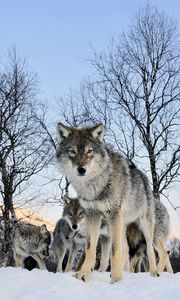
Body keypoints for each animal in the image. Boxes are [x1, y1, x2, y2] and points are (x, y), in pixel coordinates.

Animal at [56, 122, 158, 282]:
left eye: (89, 151)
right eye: (72, 151)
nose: (81, 169)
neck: (94, 185)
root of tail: (143, 176)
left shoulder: (113, 214)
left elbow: (114, 251)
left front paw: (116, 279)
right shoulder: (93, 214)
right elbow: (90, 249)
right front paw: (84, 274)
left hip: (143, 225)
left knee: (149, 248)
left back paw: (154, 273)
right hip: (121, 225)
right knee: (125, 249)